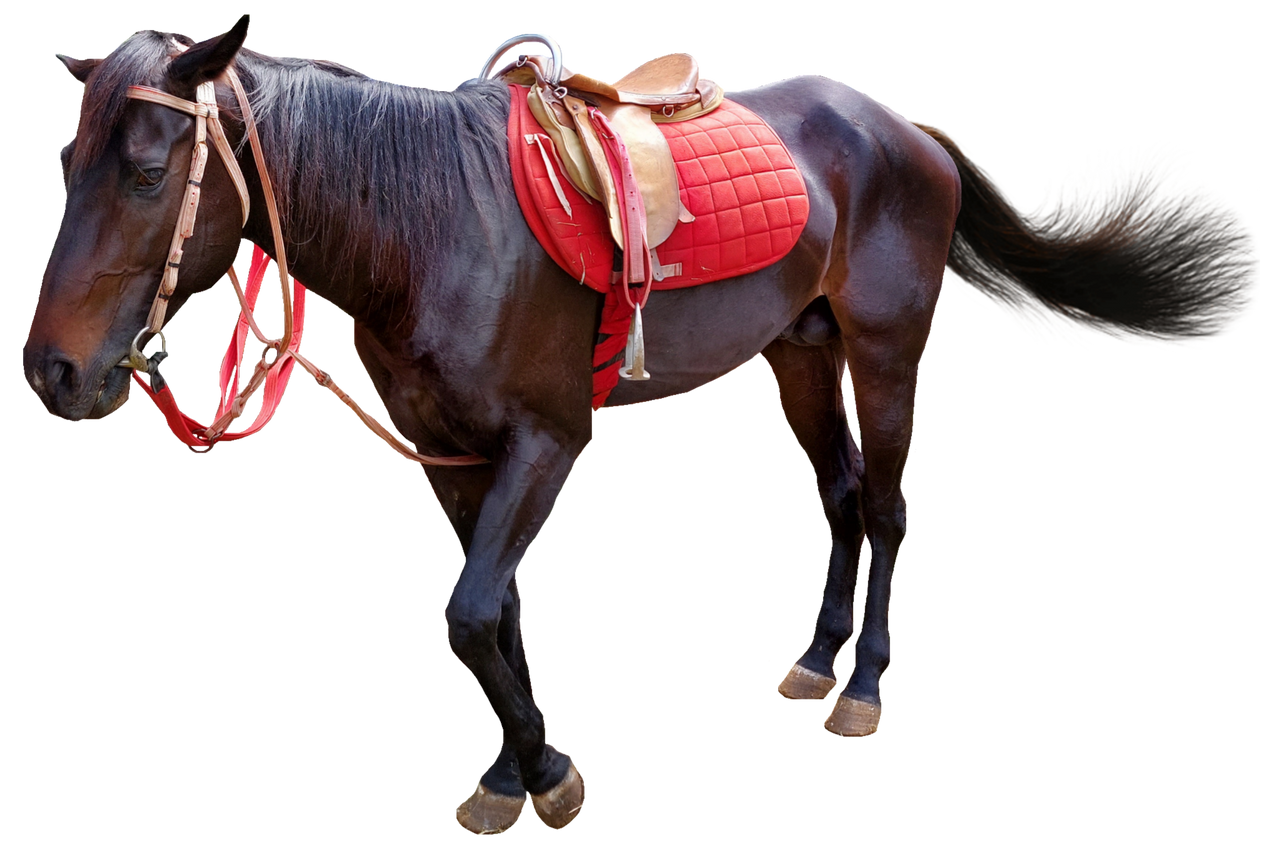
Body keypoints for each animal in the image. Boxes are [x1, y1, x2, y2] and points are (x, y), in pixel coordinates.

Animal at [21, 15, 1262, 838]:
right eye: (65, 161)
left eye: (146, 171)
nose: (51, 371)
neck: (431, 222)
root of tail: (896, 124)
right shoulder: (451, 456)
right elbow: (492, 612)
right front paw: (513, 771)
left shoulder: (548, 442)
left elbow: (465, 611)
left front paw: (548, 770)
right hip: (799, 354)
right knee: (838, 499)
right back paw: (810, 661)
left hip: (883, 351)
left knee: (890, 506)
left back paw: (861, 685)